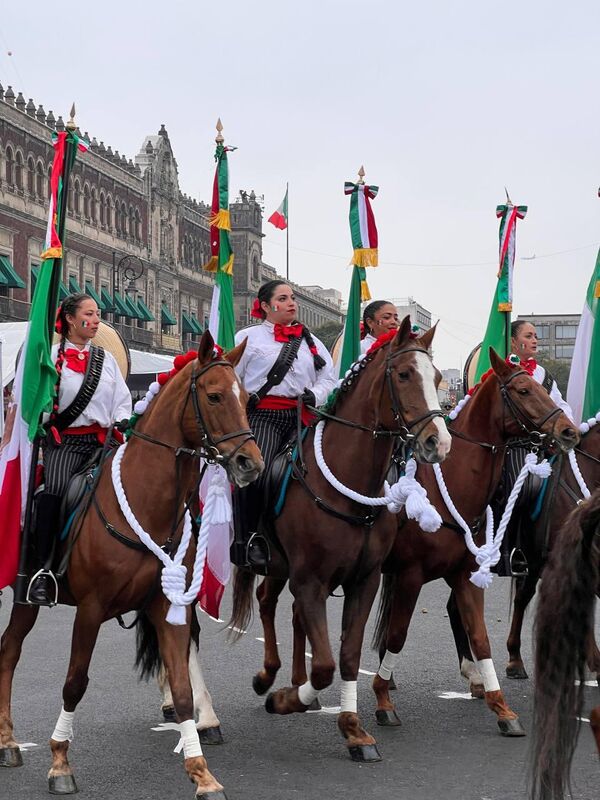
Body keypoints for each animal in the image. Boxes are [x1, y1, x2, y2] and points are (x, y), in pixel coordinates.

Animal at [0, 332, 262, 800]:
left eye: (247, 397)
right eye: (214, 395)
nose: (250, 463)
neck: (145, 500)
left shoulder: (167, 607)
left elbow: (181, 688)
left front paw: (202, 773)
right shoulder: (90, 610)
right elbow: (75, 682)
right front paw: (60, 762)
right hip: (25, 595)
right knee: (9, 652)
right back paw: (8, 740)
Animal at [230, 318, 450, 764]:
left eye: (437, 377)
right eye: (405, 374)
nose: (439, 441)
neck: (349, 486)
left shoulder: (363, 580)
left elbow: (347, 656)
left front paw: (353, 729)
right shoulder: (311, 580)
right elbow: (325, 665)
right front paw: (285, 700)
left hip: (281, 568)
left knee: (275, 606)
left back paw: (281, 680)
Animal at [368, 350, 580, 736]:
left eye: (545, 389)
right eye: (524, 390)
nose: (568, 431)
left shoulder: (465, 573)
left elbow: (480, 637)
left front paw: (502, 708)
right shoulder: (410, 575)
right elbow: (398, 633)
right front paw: (382, 701)